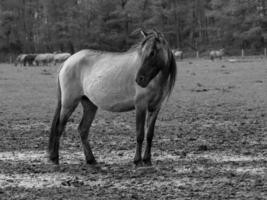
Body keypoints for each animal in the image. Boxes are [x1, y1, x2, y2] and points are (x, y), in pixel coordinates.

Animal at [48, 28, 178, 166]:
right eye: (141, 54)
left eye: (152, 53)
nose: (139, 79)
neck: (155, 80)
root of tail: (67, 62)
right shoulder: (140, 106)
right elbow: (140, 134)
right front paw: (137, 160)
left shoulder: (155, 108)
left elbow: (149, 134)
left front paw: (147, 160)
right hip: (69, 104)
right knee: (59, 128)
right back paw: (55, 158)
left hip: (89, 105)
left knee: (83, 129)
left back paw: (91, 159)